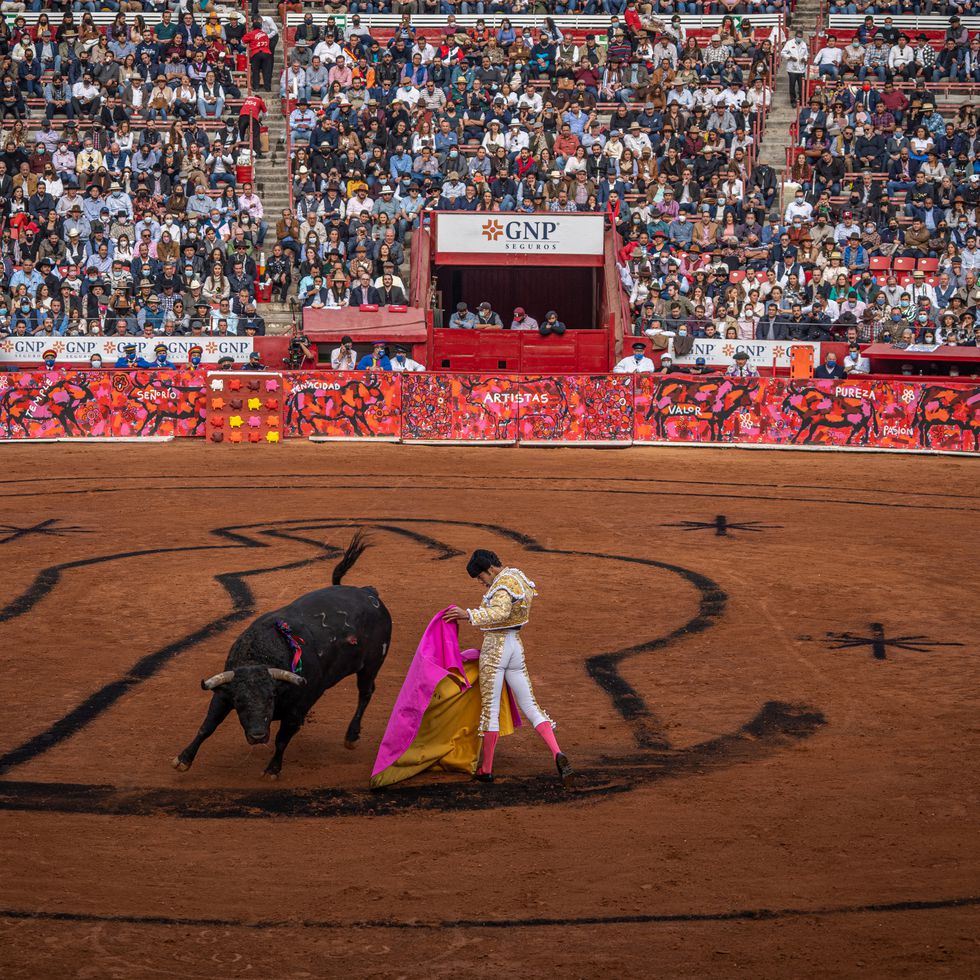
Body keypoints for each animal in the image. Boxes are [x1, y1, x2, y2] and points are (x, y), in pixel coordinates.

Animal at [172, 532, 390, 776]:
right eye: (239, 700)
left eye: (270, 697)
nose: (258, 736)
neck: (262, 654)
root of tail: (368, 592)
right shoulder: (224, 693)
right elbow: (207, 726)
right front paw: (184, 758)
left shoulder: (297, 710)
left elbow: (282, 739)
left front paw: (273, 769)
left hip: (371, 664)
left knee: (365, 693)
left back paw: (351, 736)